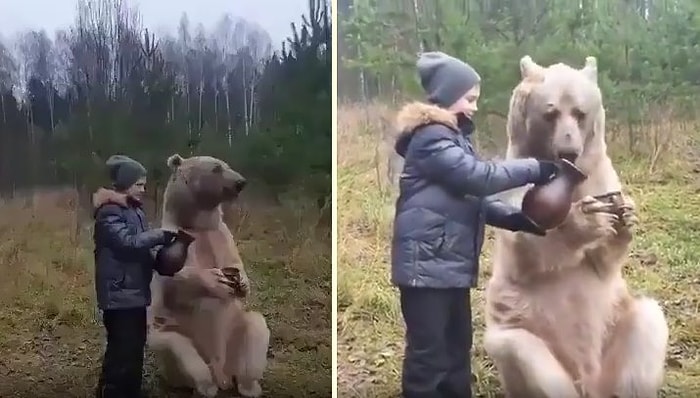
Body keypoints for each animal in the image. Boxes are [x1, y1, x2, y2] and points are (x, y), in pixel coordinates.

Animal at [146, 155, 270, 398]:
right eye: (216, 168)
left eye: (227, 164)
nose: (240, 182)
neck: (196, 223)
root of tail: (223, 375)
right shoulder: (171, 240)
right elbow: (175, 277)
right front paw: (216, 281)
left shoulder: (220, 234)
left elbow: (234, 261)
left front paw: (241, 282)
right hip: (175, 337)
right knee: (178, 349)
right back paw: (206, 386)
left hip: (236, 335)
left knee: (256, 328)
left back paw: (249, 386)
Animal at [482, 56, 668, 398]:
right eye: (551, 113)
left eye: (580, 113)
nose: (569, 151)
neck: (569, 177)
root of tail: (590, 384)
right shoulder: (515, 177)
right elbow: (526, 246)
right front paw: (585, 219)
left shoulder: (602, 176)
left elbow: (604, 262)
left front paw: (625, 217)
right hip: (525, 337)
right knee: (521, 351)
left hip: (617, 335)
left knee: (649, 320)